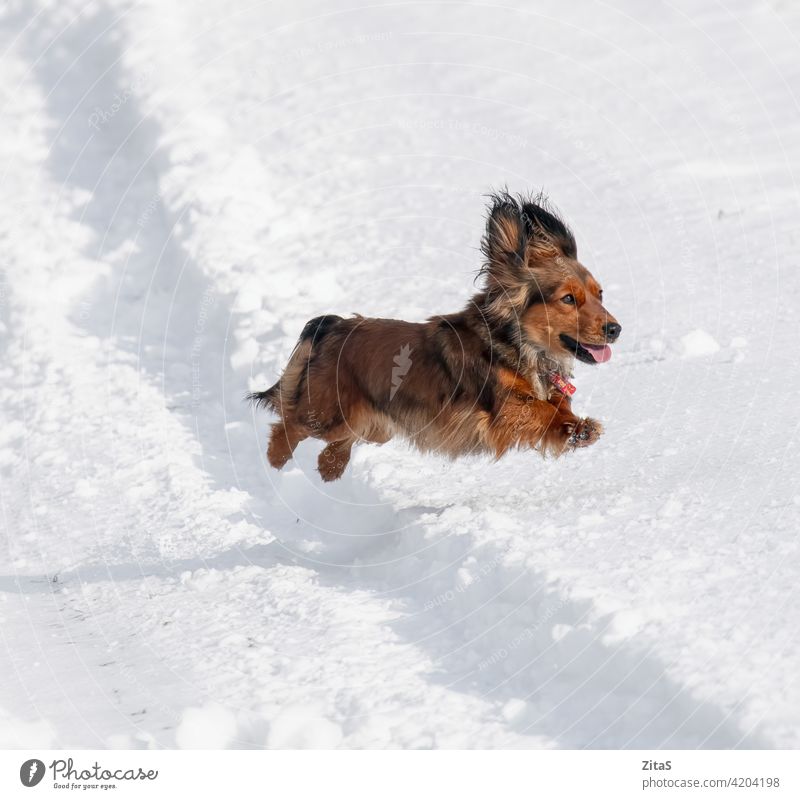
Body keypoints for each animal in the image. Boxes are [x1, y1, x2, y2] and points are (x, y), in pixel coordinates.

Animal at [247, 194, 620, 482]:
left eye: (600, 293)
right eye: (568, 299)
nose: (615, 329)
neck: (519, 347)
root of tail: (332, 326)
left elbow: (558, 405)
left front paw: (577, 427)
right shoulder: (501, 411)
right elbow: (538, 410)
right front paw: (575, 428)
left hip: (373, 426)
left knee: (336, 444)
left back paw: (330, 469)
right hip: (328, 414)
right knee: (288, 426)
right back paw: (276, 466)